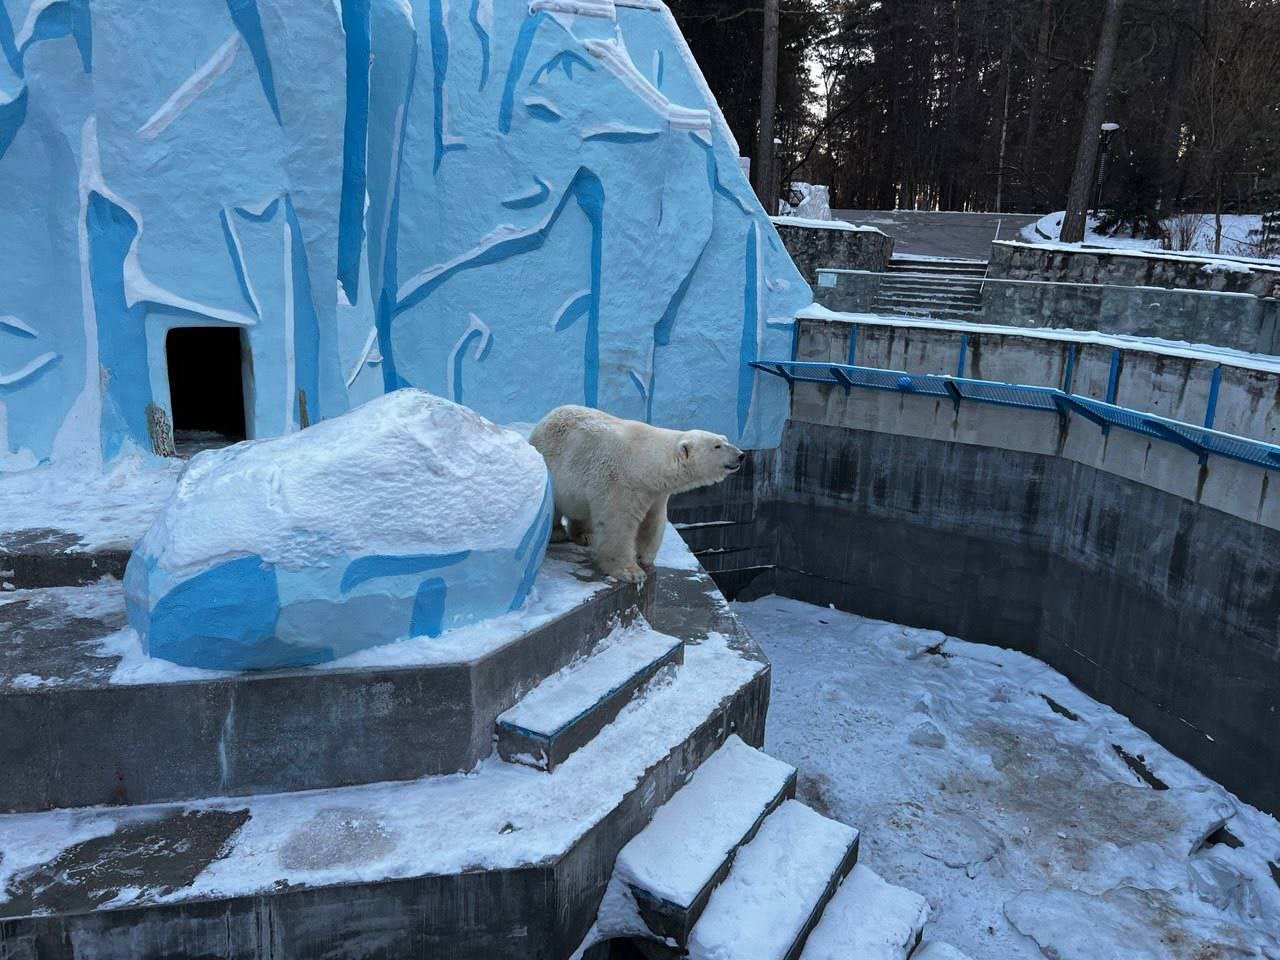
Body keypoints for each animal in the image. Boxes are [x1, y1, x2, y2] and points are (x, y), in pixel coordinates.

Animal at [529, 404, 747, 583]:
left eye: (725, 439)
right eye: (717, 445)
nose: (741, 455)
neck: (645, 463)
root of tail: (546, 418)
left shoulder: (656, 491)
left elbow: (653, 521)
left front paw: (645, 559)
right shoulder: (621, 483)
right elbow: (618, 524)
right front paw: (631, 572)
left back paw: (586, 536)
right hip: (552, 467)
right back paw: (556, 532)